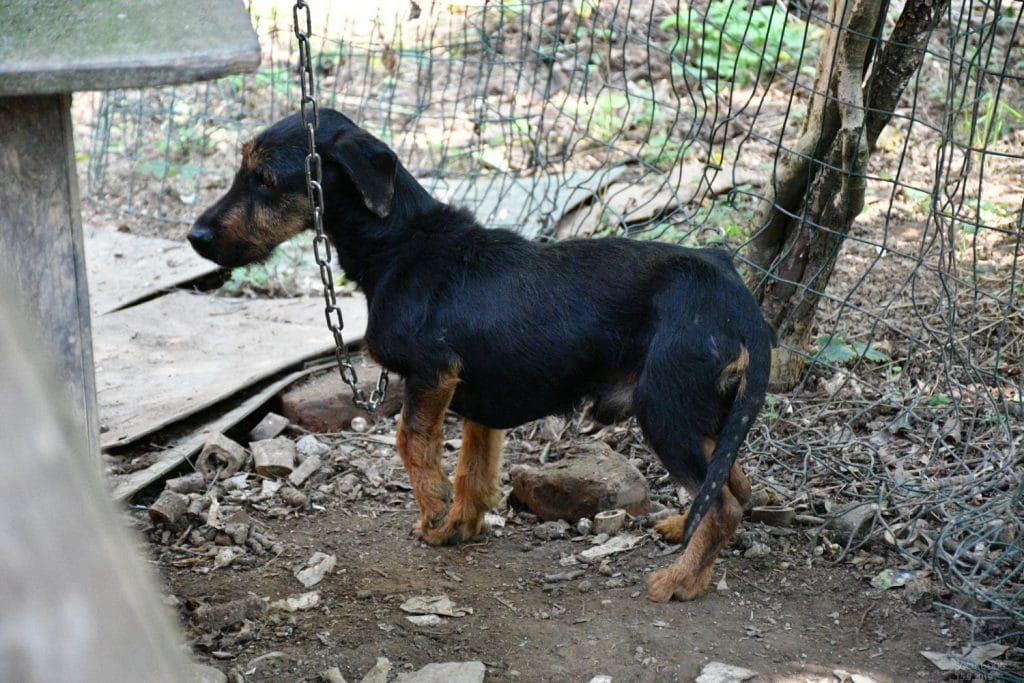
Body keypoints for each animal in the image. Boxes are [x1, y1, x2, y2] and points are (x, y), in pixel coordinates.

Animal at [188, 109, 770, 602]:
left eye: (265, 180)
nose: (194, 237)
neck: (401, 242)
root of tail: (736, 296)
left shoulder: (432, 373)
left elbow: (411, 443)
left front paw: (432, 515)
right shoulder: (479, 398)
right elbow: (474, 467)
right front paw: (457, 527)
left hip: (665, 407)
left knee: (723, 504)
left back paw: (680, 581)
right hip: (703, 411)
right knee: (736, 483)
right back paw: (684, 534)